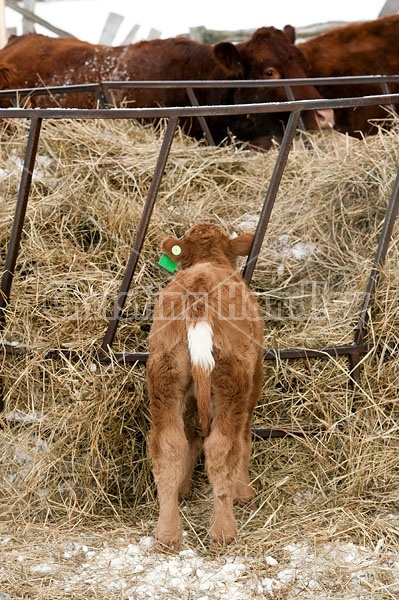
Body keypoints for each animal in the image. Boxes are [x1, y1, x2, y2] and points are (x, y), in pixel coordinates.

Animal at [147, 224, 266, 548]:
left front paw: (184, 489)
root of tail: (198, 297)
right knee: (223, 447)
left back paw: (167, 532)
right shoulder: (255, 377)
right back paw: (224, 530)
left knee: (168, 445)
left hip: (165, 375)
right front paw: (243, 492)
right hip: (231, 380)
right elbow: (243, 438)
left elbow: (189, 436)